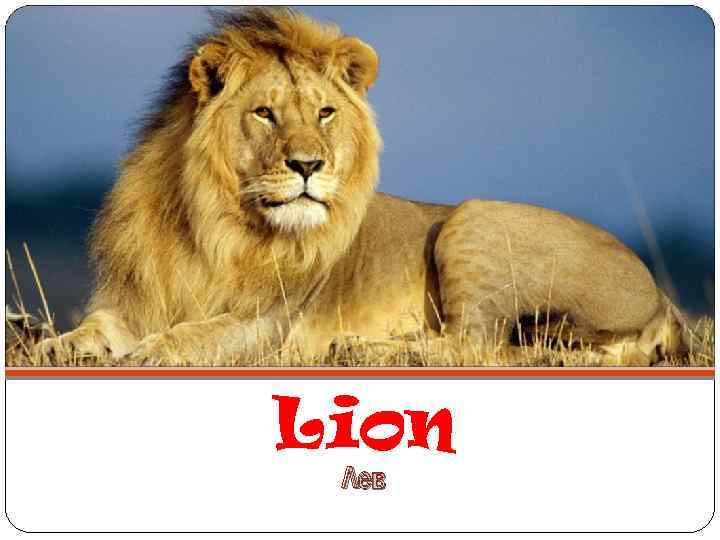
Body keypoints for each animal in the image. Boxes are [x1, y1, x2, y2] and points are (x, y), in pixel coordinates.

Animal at [37, 7, 694, 366]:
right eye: (265, 113)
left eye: (325, 112)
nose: (308, 164)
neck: (211, 223)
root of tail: (661, 297)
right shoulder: (133, 298)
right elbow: (94, 328)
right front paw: (57, 346)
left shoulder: (269, 323)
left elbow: (202, 332)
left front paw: (155, 350)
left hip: (472, 219)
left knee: (474, 344)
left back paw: (367, 348)